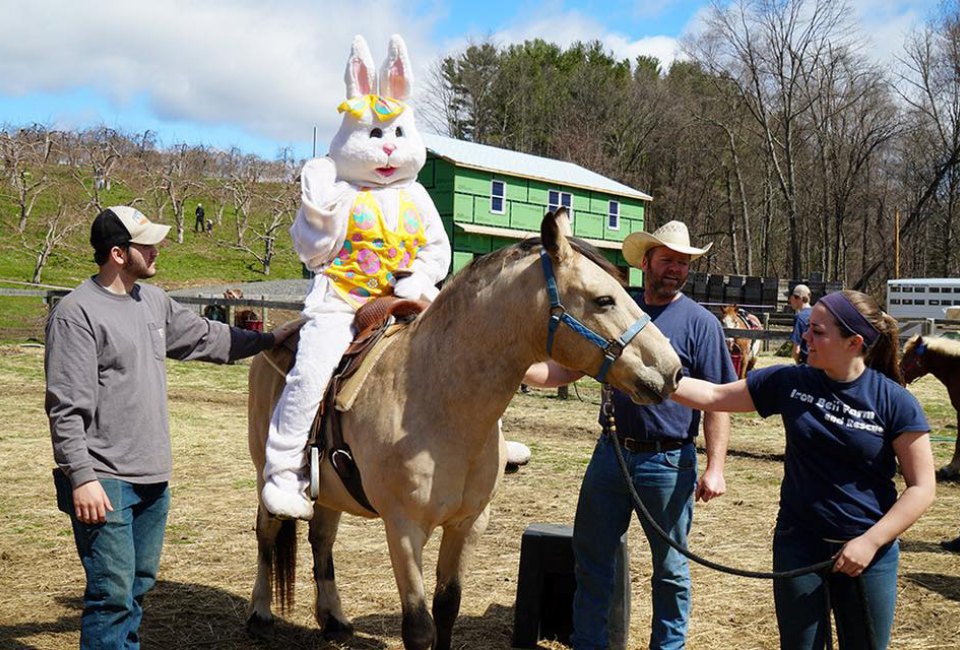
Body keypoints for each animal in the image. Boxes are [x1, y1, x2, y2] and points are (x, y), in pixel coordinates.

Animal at [246, 209, 684, 648]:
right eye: (604, 300)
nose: (672, 370)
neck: (438, 404)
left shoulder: (468, 524)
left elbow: (447, 608)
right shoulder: (403, 529)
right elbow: (418, 626)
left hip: (330, 491)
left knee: (322, 538)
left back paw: (333, 617)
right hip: (266, 472)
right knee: (267, 532)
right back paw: (260, 612)